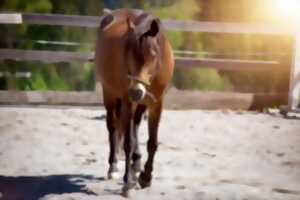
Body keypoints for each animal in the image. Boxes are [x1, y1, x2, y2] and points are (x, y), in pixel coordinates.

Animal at [94, 8, 173, 196]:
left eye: (153, 54)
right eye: (128, 54)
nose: (136, 91)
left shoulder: (157, 103)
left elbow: (152, 143)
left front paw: (146, 177)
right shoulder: (127, 101)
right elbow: (128, 143)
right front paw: (127, 183)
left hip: (141, 103)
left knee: (135, 123)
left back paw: (136, 163)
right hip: (110, 95)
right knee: (113, 127)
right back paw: (113, 166)